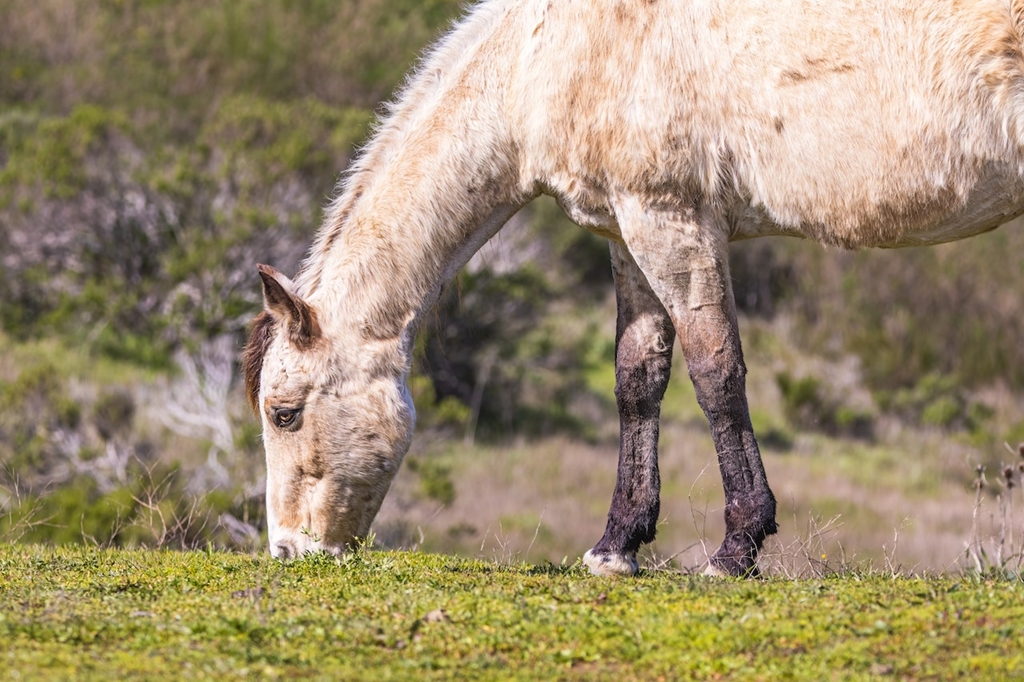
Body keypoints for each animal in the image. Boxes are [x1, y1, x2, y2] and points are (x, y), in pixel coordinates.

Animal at [243, 0, 1024, 573]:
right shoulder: (626, 233)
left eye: (284, 413)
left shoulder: (670, 221)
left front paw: (736, 550)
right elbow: (637, 379)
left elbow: (715, 373)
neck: (545, 56)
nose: (289, 550)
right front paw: (617, 545)